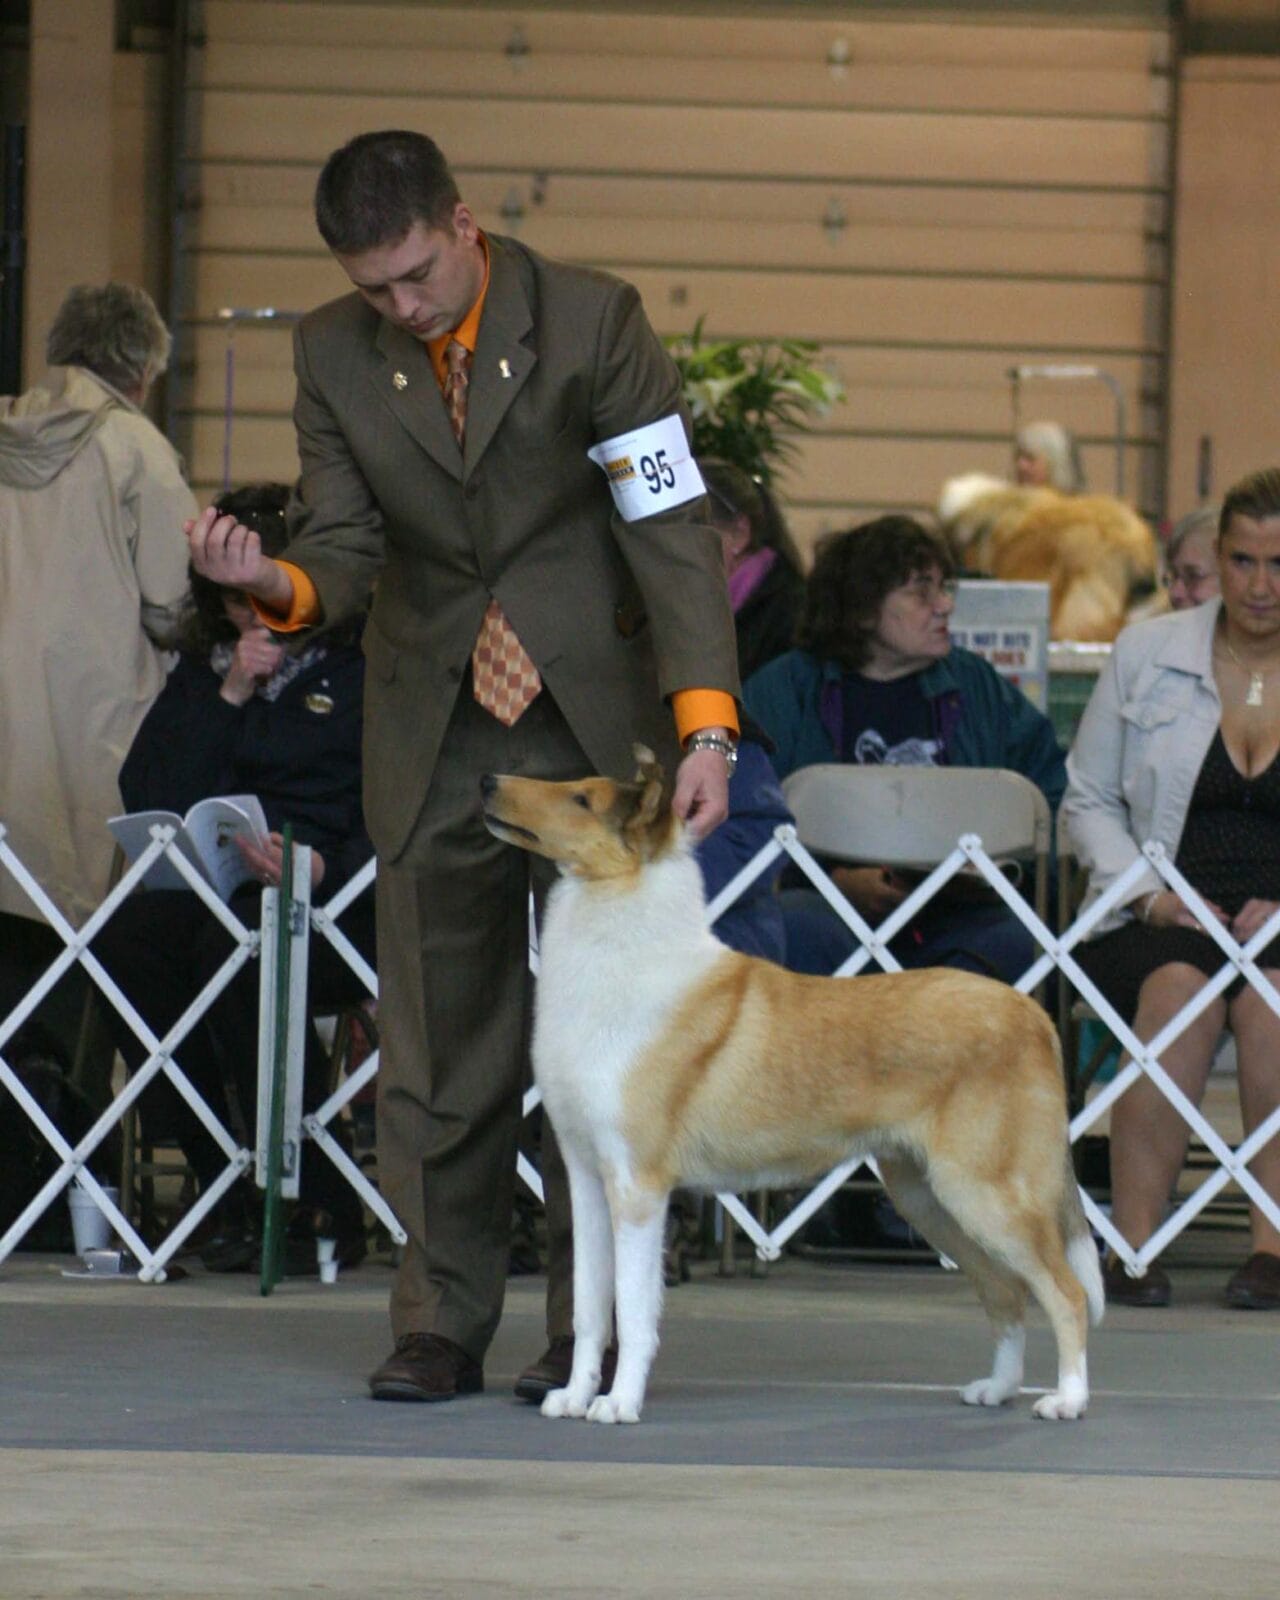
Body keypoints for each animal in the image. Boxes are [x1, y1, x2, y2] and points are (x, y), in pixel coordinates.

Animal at [480, 748, 1100, 1427]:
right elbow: (592, 1306)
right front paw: (574, 1395)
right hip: (931, 1198)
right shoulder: (587, 1178)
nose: (486, 781)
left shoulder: (639, 1186)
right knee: (1007, 1292)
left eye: (582, 801)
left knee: (1065, 1291)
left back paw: (1068, 1399)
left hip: (989, 1194)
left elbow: (635, 1309)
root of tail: (1033, 1013)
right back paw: (998, 1388)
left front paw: (619, 1404)